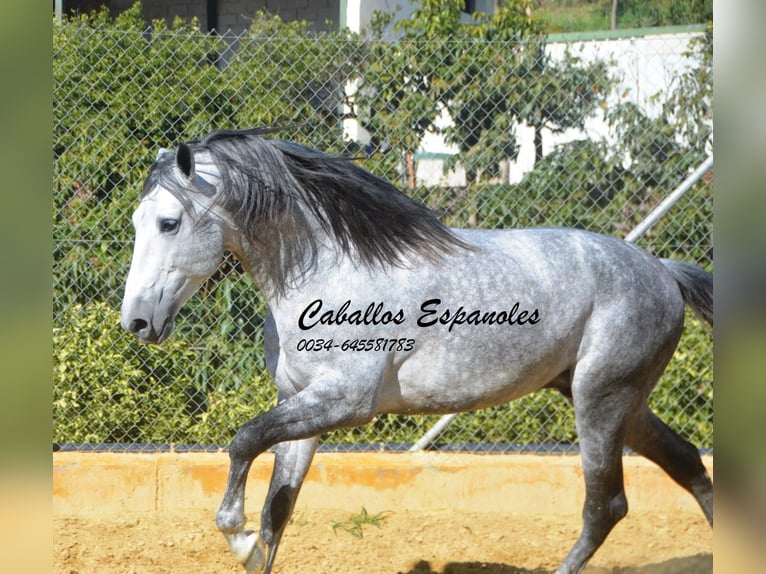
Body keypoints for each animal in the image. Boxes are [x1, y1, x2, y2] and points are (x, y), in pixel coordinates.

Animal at [123, 128, 716, 574]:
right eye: (136, 222)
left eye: (169, 222)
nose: (137, 321)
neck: (325, 270)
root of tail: (662, 271)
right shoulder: (300, 401)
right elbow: (278, 512)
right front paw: (253, 541)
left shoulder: (345, 401)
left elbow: (244, 442)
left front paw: (236, 537)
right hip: (620, 400)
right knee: (688, 465)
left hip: (600, 398)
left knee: (605, 505)